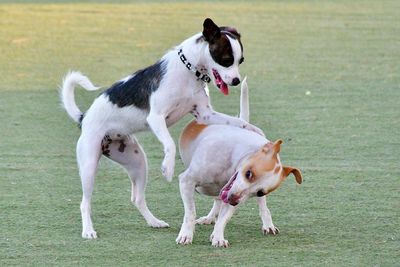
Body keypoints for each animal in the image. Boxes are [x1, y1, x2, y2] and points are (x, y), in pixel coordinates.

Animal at [60, 18, 262, 241]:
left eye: (240, 61)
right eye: (226, 59)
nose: (235, 81)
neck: (188, 71)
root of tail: (84, 118)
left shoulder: (205, 115)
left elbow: (239, 123)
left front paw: (254, 130)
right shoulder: (156, 118)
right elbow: (170, 144)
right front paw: (168, 168)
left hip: (138, 163)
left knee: (137, 198)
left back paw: (154, 222)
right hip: (89, 166)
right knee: (84, 202)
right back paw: (88, 230)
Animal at [176, 78, 304, 248]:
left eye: (260, 191)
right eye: (249, 173)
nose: (233, 200)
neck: (231, 160)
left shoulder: (234, 193)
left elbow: (223, 218)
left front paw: (218, 237)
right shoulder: (187, 181)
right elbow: (190, 212)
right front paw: (186, 235)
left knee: (259, 206)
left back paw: (267, 225)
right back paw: (209, 218)